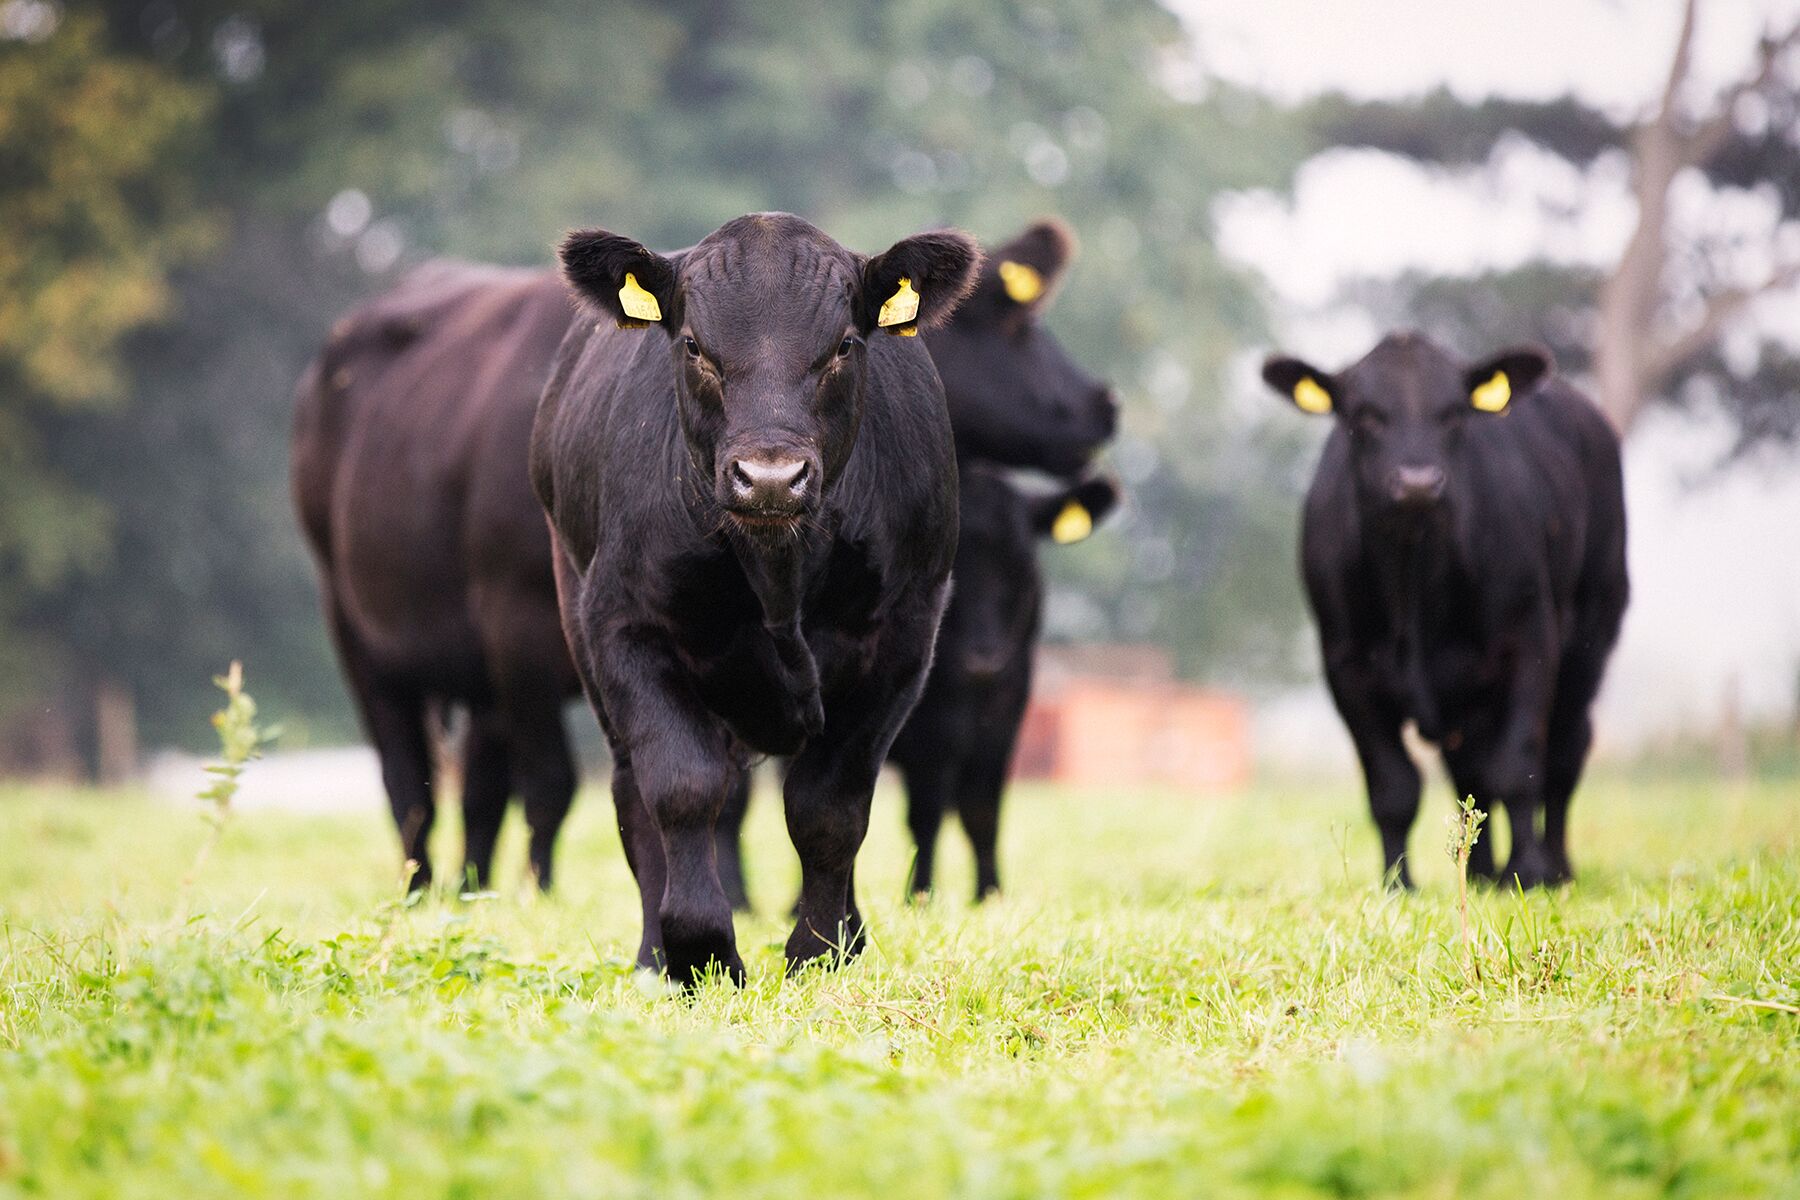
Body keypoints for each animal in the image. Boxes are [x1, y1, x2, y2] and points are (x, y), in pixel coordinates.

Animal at [529, 213, 979, 985]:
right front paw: (700, 952)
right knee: (633, 795)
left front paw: (820, 953)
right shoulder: (626, 627)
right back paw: (653, 956)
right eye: (694, 346)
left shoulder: (902, 639)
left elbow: (830, 807)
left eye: (844, 345)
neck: (779, 579)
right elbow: (682, 789)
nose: (770, 477)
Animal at [892, 467, 1116, 899]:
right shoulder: (927, 736)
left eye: (1022, 561)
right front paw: (920, 896)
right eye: (951, 560)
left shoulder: (1003, 721)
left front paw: (989, 895)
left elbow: (982, 813)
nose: (984, 658)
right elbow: (926, 816)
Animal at [1267, 332, 1634, 888]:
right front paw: (1397, 883)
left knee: (1564, 753)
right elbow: (1394, 786)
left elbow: (1518, 765)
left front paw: (1526, 872)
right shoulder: (1346, 667)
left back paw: (1555, 865)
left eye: (1454, 413)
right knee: (1469, 771)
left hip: (1589, 643)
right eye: (1365, 414)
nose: (1418, 483)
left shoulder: (1530, 644)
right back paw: (1479, 873)